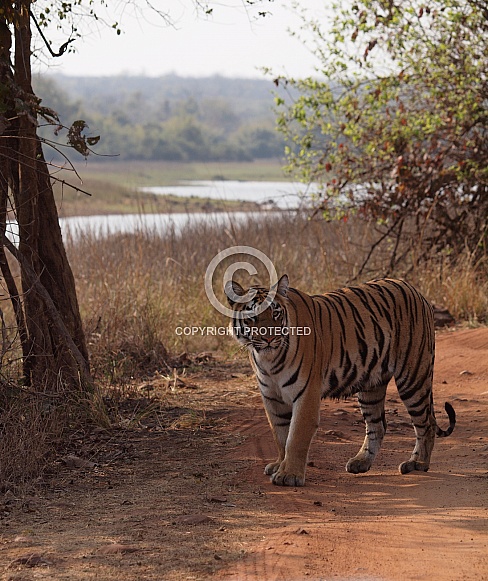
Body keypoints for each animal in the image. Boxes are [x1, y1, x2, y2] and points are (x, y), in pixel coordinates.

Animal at [226, 276, 458, 484]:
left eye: (276, 313)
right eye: (252, 317)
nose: (269, 338)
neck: (268, 360)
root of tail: (413, 289)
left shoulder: (306, 394)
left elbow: (295, 437)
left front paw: (289, 475)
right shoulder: (272, 397)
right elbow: (280, 435)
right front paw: (279, 465)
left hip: (413, 377)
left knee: (427, 423)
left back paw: (417, 463)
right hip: (371, 385)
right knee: (378, 425)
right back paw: (361, 462)